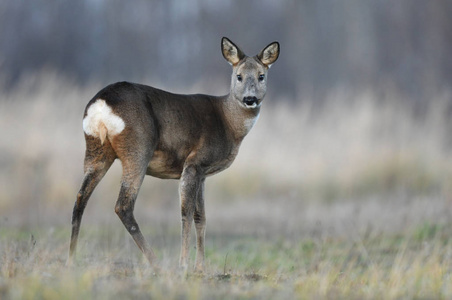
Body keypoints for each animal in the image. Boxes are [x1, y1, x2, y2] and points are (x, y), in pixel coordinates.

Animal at [67, 37, 278, 272]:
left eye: (261, 75)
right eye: (238, 75)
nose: (250, 99)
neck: (228, 123)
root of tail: (101, 104)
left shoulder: (203, 174)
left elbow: (201, 217)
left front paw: (200, 268)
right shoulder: (194, 162)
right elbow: (186, 213)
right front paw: (184, 264)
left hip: (95, 150)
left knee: (80, 198)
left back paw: (70, 260)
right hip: (137, 149)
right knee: (123, 205)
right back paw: (156, 263)